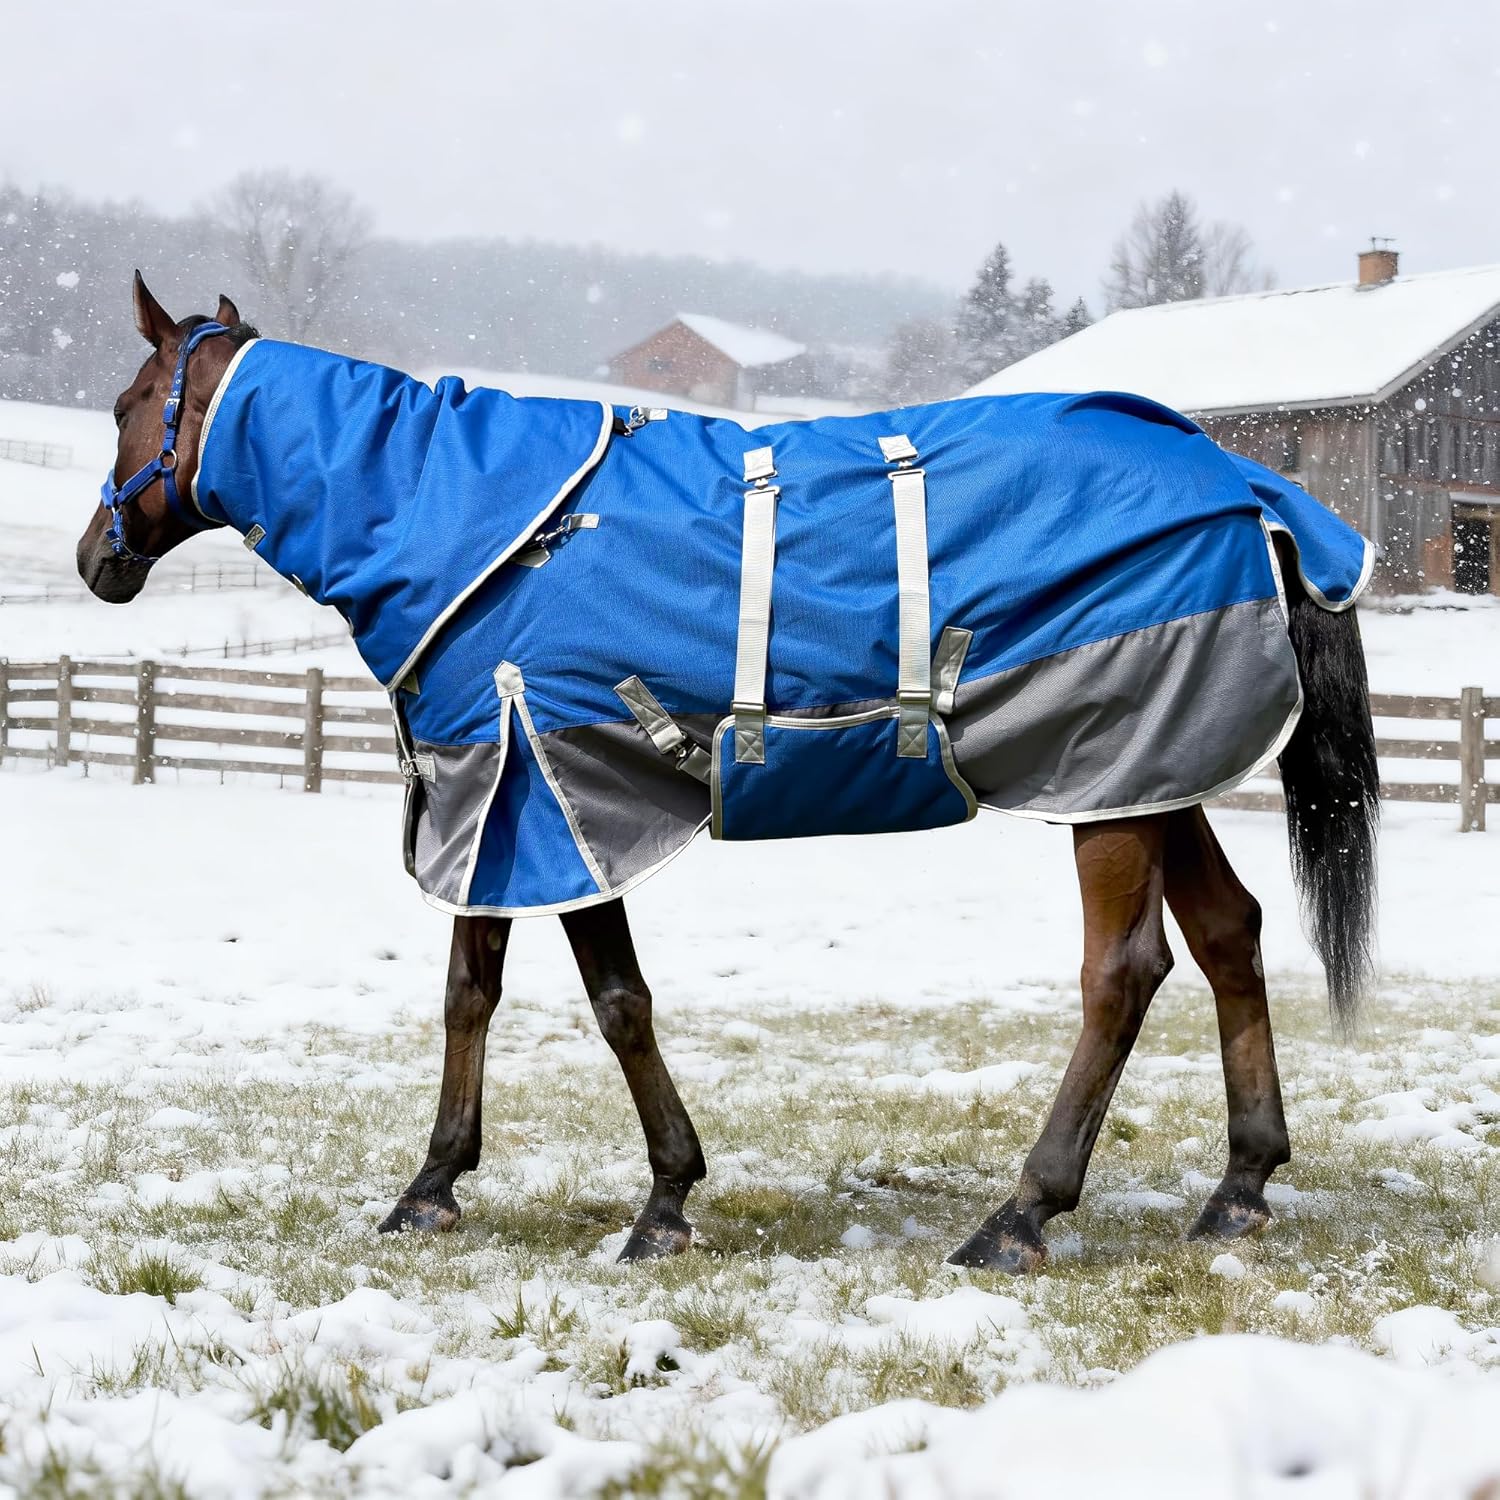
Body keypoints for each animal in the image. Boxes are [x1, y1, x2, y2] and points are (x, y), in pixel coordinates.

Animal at [75, 274, 1379, 1273]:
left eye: (131, 403)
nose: (97, 559)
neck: (466, 525)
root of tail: (1244, 484)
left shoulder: (551, 794)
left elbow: (615, 1003)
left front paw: (661, 1201)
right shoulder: (492, 799)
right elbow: (470, 993)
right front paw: (433, 1184)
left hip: (1106, 776)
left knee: (1124, 972)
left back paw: (1021, 1214)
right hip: (1149, 772)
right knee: (1229, 933)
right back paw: (1240, 1187)